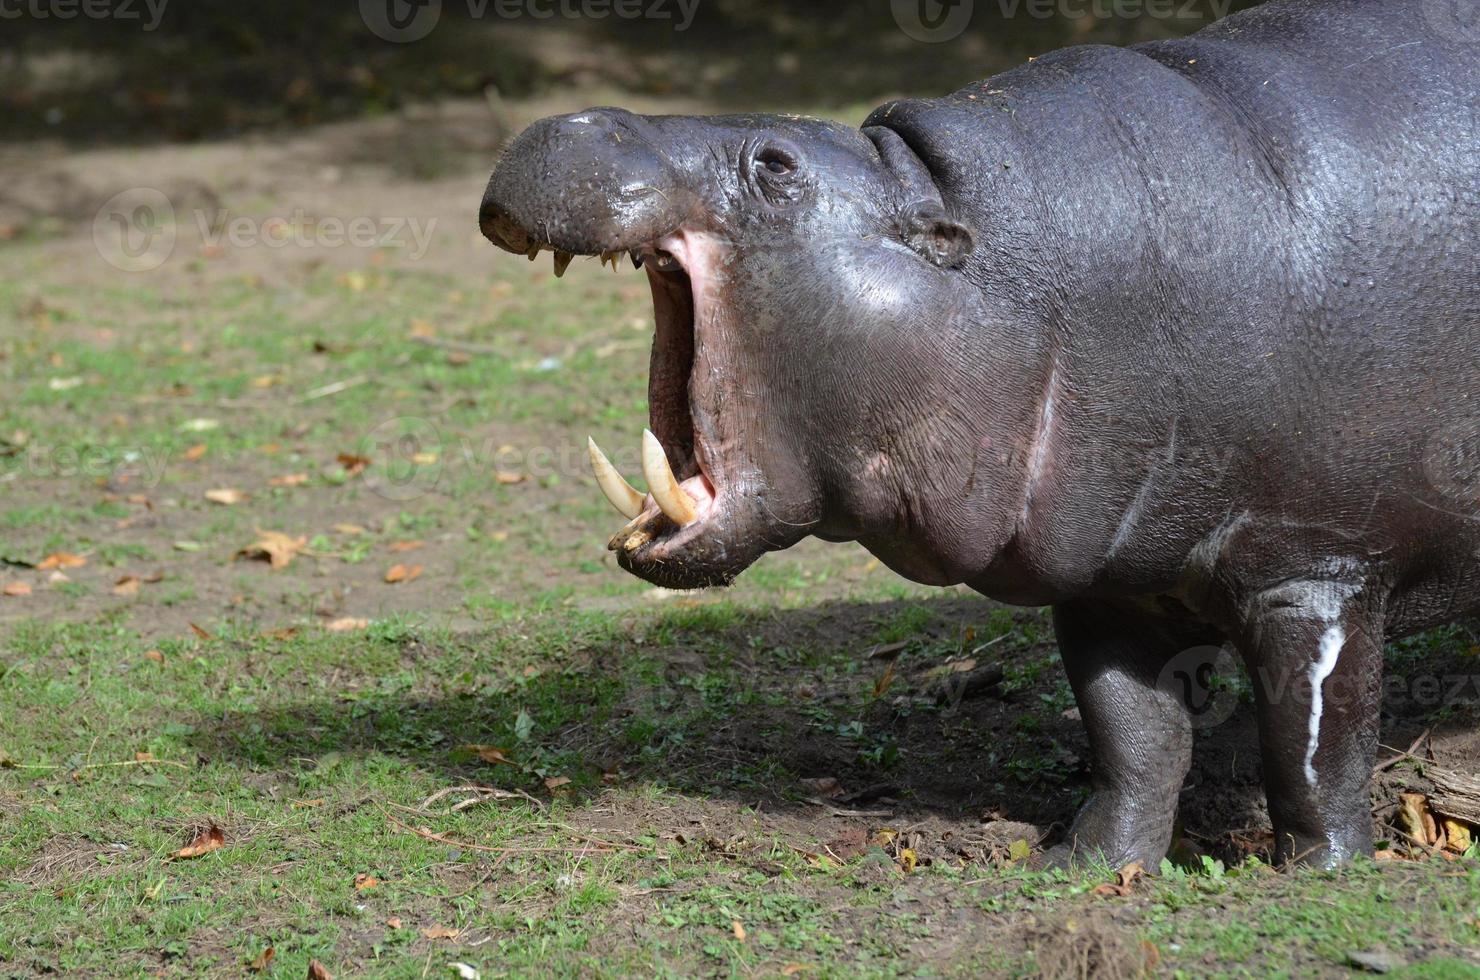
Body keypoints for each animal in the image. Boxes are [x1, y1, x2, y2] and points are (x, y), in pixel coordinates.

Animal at [476, 0, 1480, 876]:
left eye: (778, 161)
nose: (575, 118)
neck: (1009, 273)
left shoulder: (1318, 568)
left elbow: (1314, 742)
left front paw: (1319, 872)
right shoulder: (1108, 574)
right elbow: (1133, 734)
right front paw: (1090, 866)